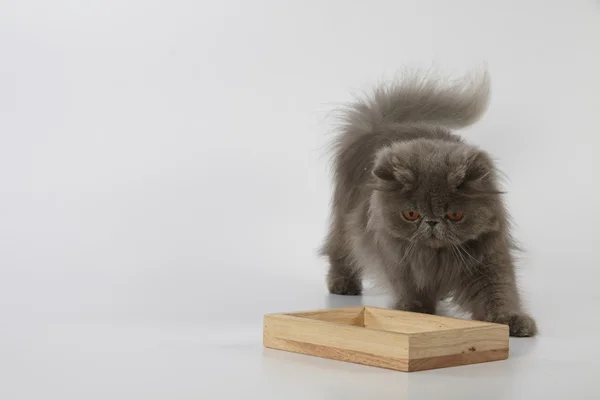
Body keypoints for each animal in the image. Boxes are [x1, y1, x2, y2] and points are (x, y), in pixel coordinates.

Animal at [324, 69, 540, 338]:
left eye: (455, 215)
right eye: (411, 214)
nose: (432, 222)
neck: (437, 256)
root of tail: (380, 126)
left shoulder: (489, 261)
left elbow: (500, 293)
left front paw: (513, 321)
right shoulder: (398, 260)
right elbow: (409, 289)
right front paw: (415, 311)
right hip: (345, 224)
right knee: (340, 253)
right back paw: (343, 285)